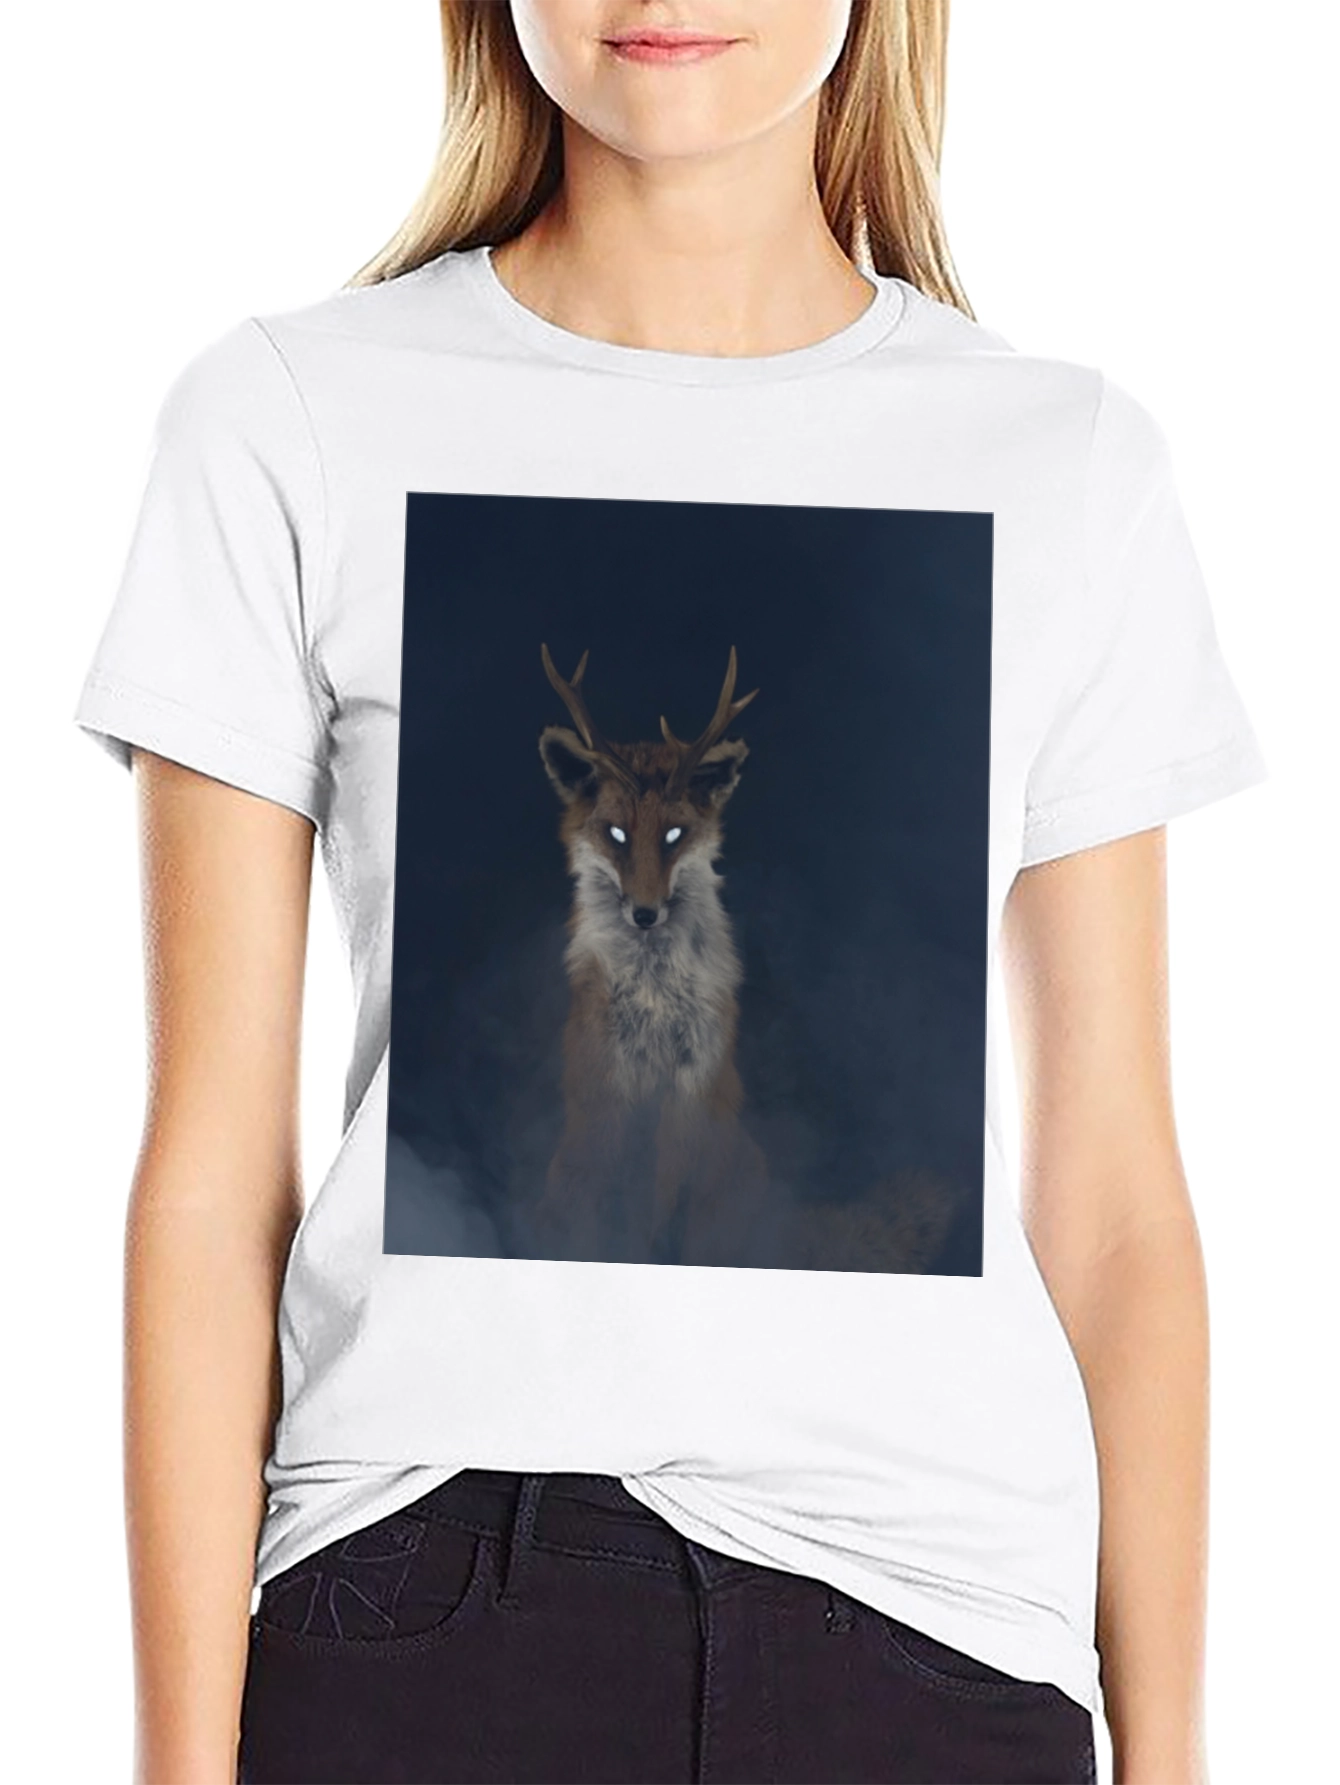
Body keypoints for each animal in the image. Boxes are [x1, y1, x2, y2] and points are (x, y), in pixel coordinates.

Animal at [536, 643, 769, 1263]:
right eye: (616, 834)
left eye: (673, 836)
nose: (644, 913)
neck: (657, 1004)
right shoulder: (609, 1083)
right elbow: (612, 1194)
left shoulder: (693, 1085)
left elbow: (662, 1195)